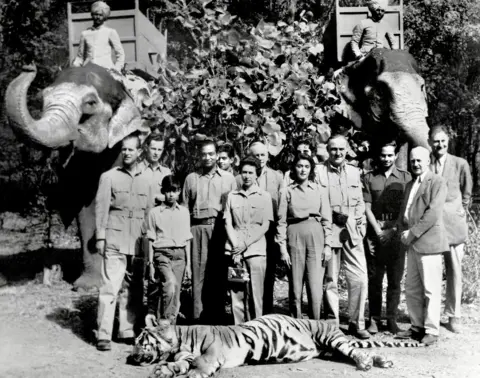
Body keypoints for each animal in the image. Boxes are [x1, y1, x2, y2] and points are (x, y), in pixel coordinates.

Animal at [5, 62, 150, 290]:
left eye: (90, 104)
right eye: (43, 99)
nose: (29, 67)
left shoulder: (121, 147)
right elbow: (87, 209)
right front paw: (88, 285)